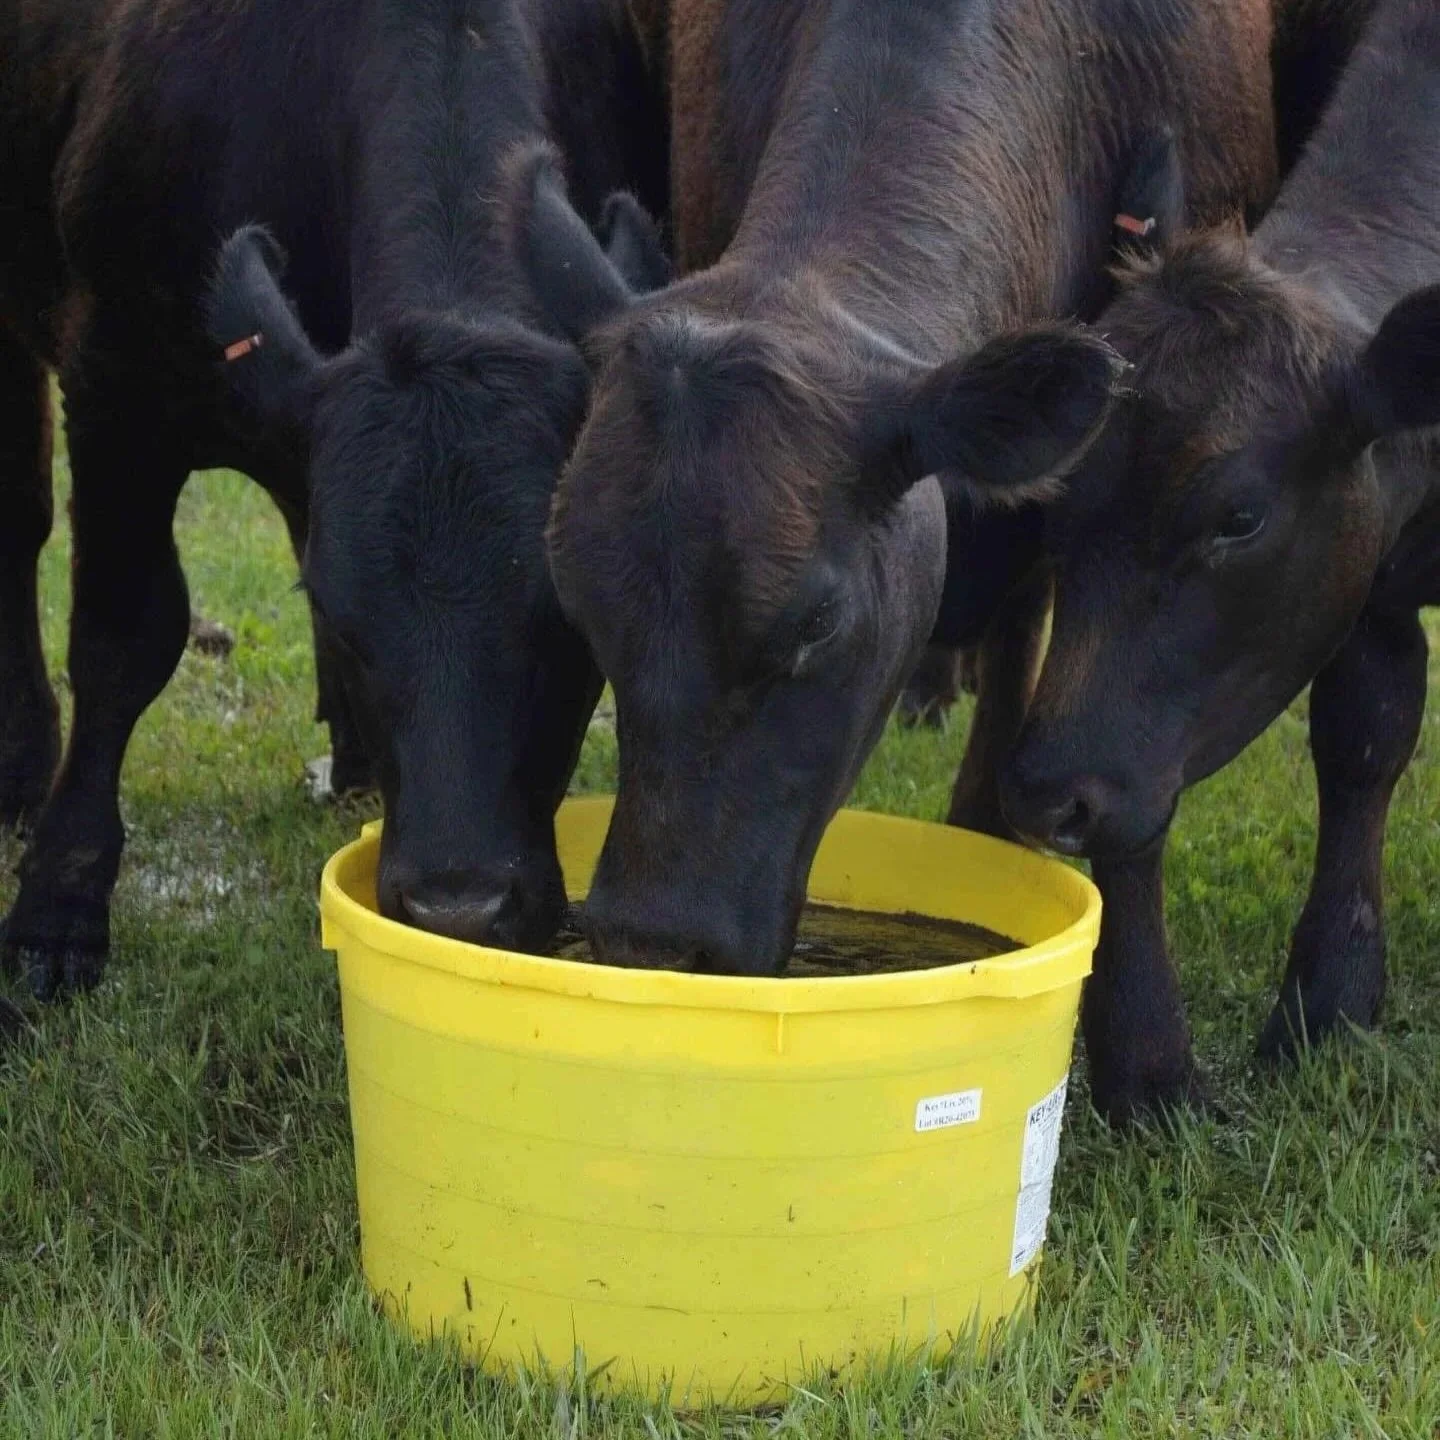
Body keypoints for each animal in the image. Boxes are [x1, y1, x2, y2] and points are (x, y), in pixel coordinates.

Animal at [0, 0, 669, 999]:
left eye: (571, 626)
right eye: (348, 625)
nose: (459, 908)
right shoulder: (115, 390)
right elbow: (123, 645)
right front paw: (57, 910)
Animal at [1002, 0, 1440, 1122]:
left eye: (1238, 517)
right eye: (1058, 493)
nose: (1050, 794)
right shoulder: (1367, 574)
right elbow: (1365, 734)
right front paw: (1331, 1002)